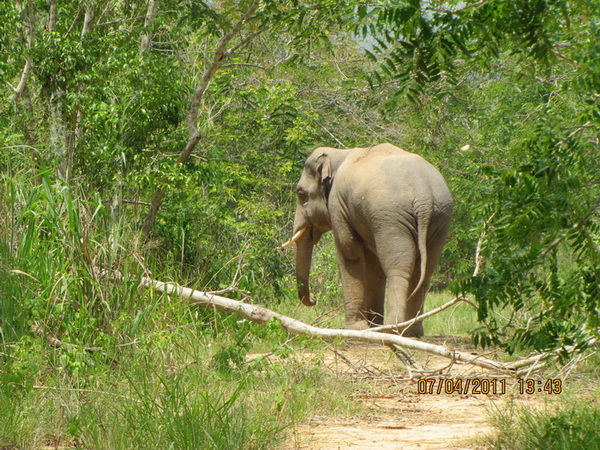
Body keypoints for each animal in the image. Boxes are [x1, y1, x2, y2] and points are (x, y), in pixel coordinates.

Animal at [284, 142, 452, 336]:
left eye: (301, 194)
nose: (313, 299)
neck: (339, 154)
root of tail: (423, 198)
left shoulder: (338, 205)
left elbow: (349, 253)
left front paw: (356, 329)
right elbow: (373, 265)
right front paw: (373, 326)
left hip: (391, 218)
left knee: (398, 268)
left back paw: (392, 329)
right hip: (439, 219)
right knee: (424, 271)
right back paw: (410, 332)